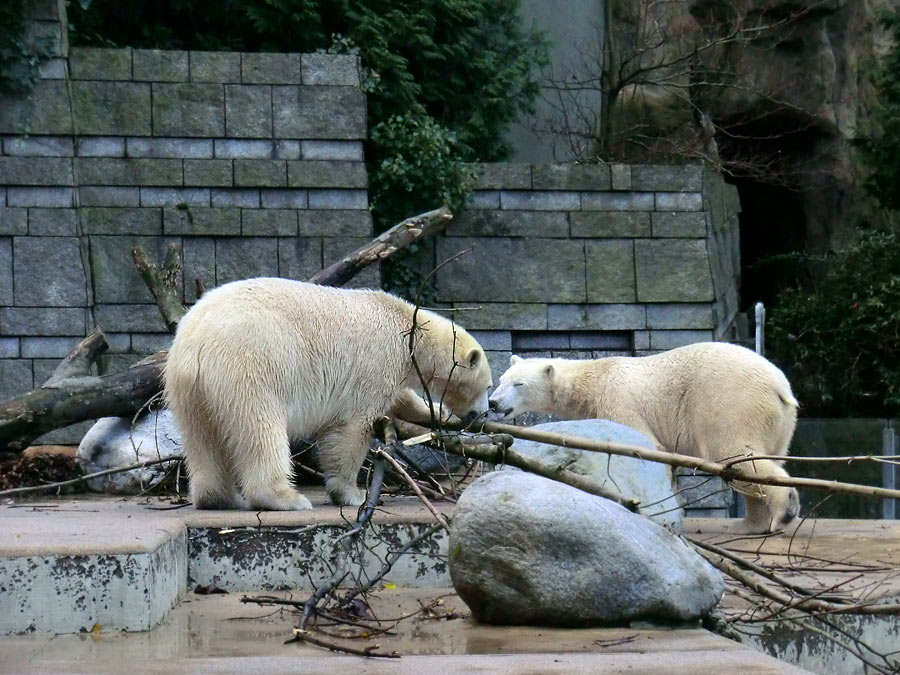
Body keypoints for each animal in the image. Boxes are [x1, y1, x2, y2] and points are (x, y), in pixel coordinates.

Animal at [165, 278, 496, 512]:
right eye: (487, 386)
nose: (481, 412)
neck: (407, 328)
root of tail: (198, 340)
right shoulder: (376, 361)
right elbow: (353, 428)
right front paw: (352, 494)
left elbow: (400, 398)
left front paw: (437, 412)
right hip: (251, 363)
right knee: (261, 428)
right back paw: (285, 498)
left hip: (186, 385)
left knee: (201, 436)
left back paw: (218, 498)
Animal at [492, 344, 800, 532]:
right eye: (501, 380)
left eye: (519, 384)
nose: (493, 402)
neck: (593, 379)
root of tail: (779, 386)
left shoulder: (618, 400)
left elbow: (641, 445)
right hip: (780, 422)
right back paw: (750, 524)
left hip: (728, 402)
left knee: (732, 454)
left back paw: (783, 511)